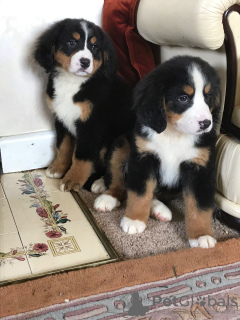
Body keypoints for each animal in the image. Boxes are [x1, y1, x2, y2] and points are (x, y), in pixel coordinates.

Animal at [34, 18, 135, 191]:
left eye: (94, 47)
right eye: (72, 42)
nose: (85, 62)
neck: (72, 82)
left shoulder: (91, 125)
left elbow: (82, 155)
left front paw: (73, 179)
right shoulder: (60, 118)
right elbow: (63, 146)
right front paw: (58, 168)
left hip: (115, 142)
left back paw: (100, 183)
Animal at [94, 55, 222, 250]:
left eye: (208, 96)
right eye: (183, 98)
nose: (206, 123)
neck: (174, 133)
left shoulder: (201, 167)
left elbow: (200, 205)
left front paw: (201, 235)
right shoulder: (143, 158)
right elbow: (139, 192)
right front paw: (134, 220)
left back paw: (159, 210)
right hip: (122, 144)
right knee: (117, 179)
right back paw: (107, 195)